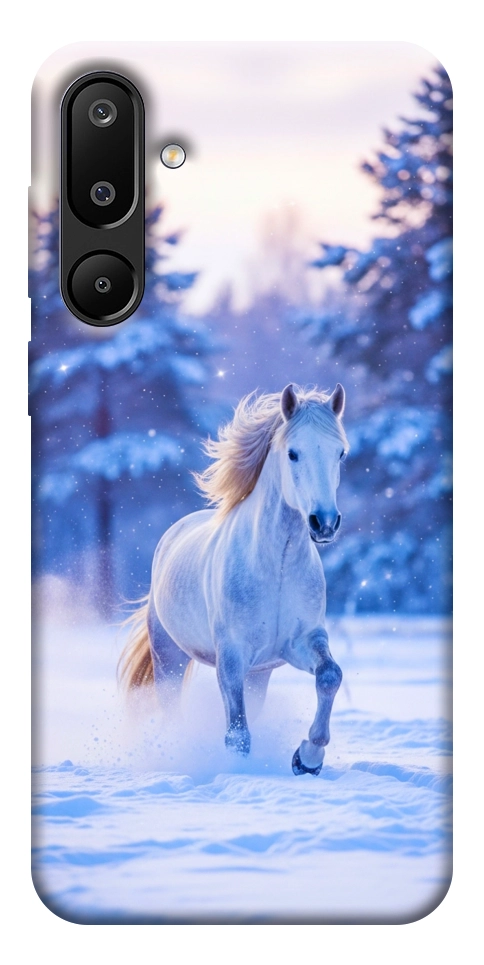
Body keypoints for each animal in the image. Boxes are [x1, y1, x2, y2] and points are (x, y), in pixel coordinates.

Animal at [119, 382, 348, 775]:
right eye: (293, 453)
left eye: (340, 453)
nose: (324, 523)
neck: (276, 567)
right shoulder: (231, 656)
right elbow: (237, 734)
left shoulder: (301, 642)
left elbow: (330, 676)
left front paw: (307, 758)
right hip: (169, 657)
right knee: (171, 709)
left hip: (259, 674)